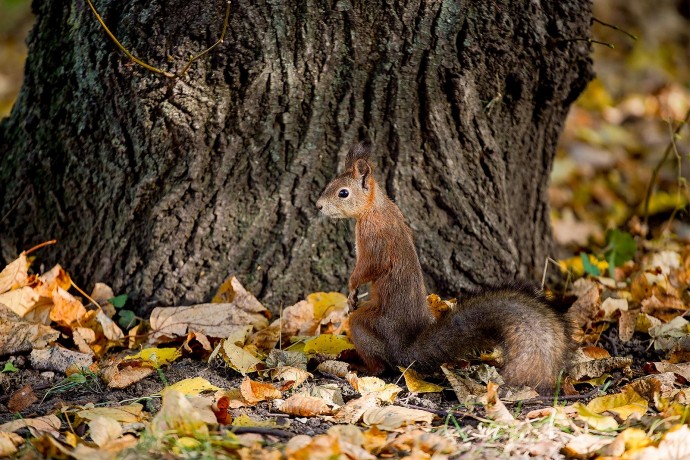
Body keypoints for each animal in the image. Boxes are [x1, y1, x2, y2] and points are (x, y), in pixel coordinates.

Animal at [316, 142, 568, 390]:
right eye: (329, 184)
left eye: (343, 193)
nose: (318, 206)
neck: (374, 208)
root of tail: (404, 350)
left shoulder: (373, 240)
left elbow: (367, 268)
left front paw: (351, 288)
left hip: (364, 325)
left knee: (379, 364)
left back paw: (360, 365)